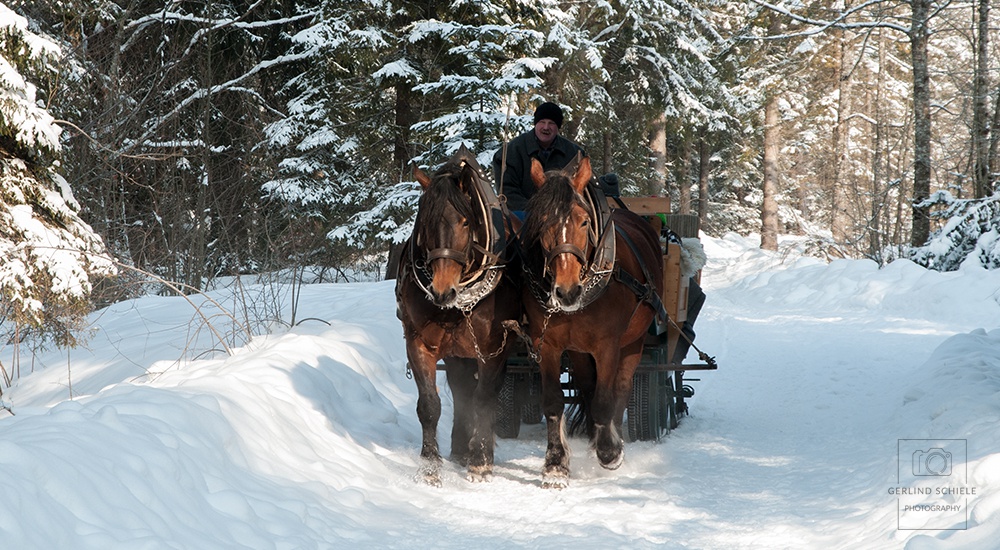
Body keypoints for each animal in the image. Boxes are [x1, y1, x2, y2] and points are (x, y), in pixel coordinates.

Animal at [390, 146, 520, 488]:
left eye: (464, 221)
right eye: (425, 222)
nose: (442, 291)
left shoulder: (492, 349)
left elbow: (484, 399)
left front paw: (481, 462)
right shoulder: (418, 342)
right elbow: (429, 405)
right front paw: (430, 466)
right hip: (458, 351)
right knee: (461, 391)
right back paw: (461, 447)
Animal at [516, 153, 664, 490]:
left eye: (584, 221)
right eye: (541, 222)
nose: (567, 291)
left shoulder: (607, 346)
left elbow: (604, 400)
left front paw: (609, 452)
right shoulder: (548, 345)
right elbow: (553, 402)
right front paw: (555, 465)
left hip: (634, 342)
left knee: (620, 390)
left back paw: (611, 440)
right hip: (579, 351)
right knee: (586, 386)